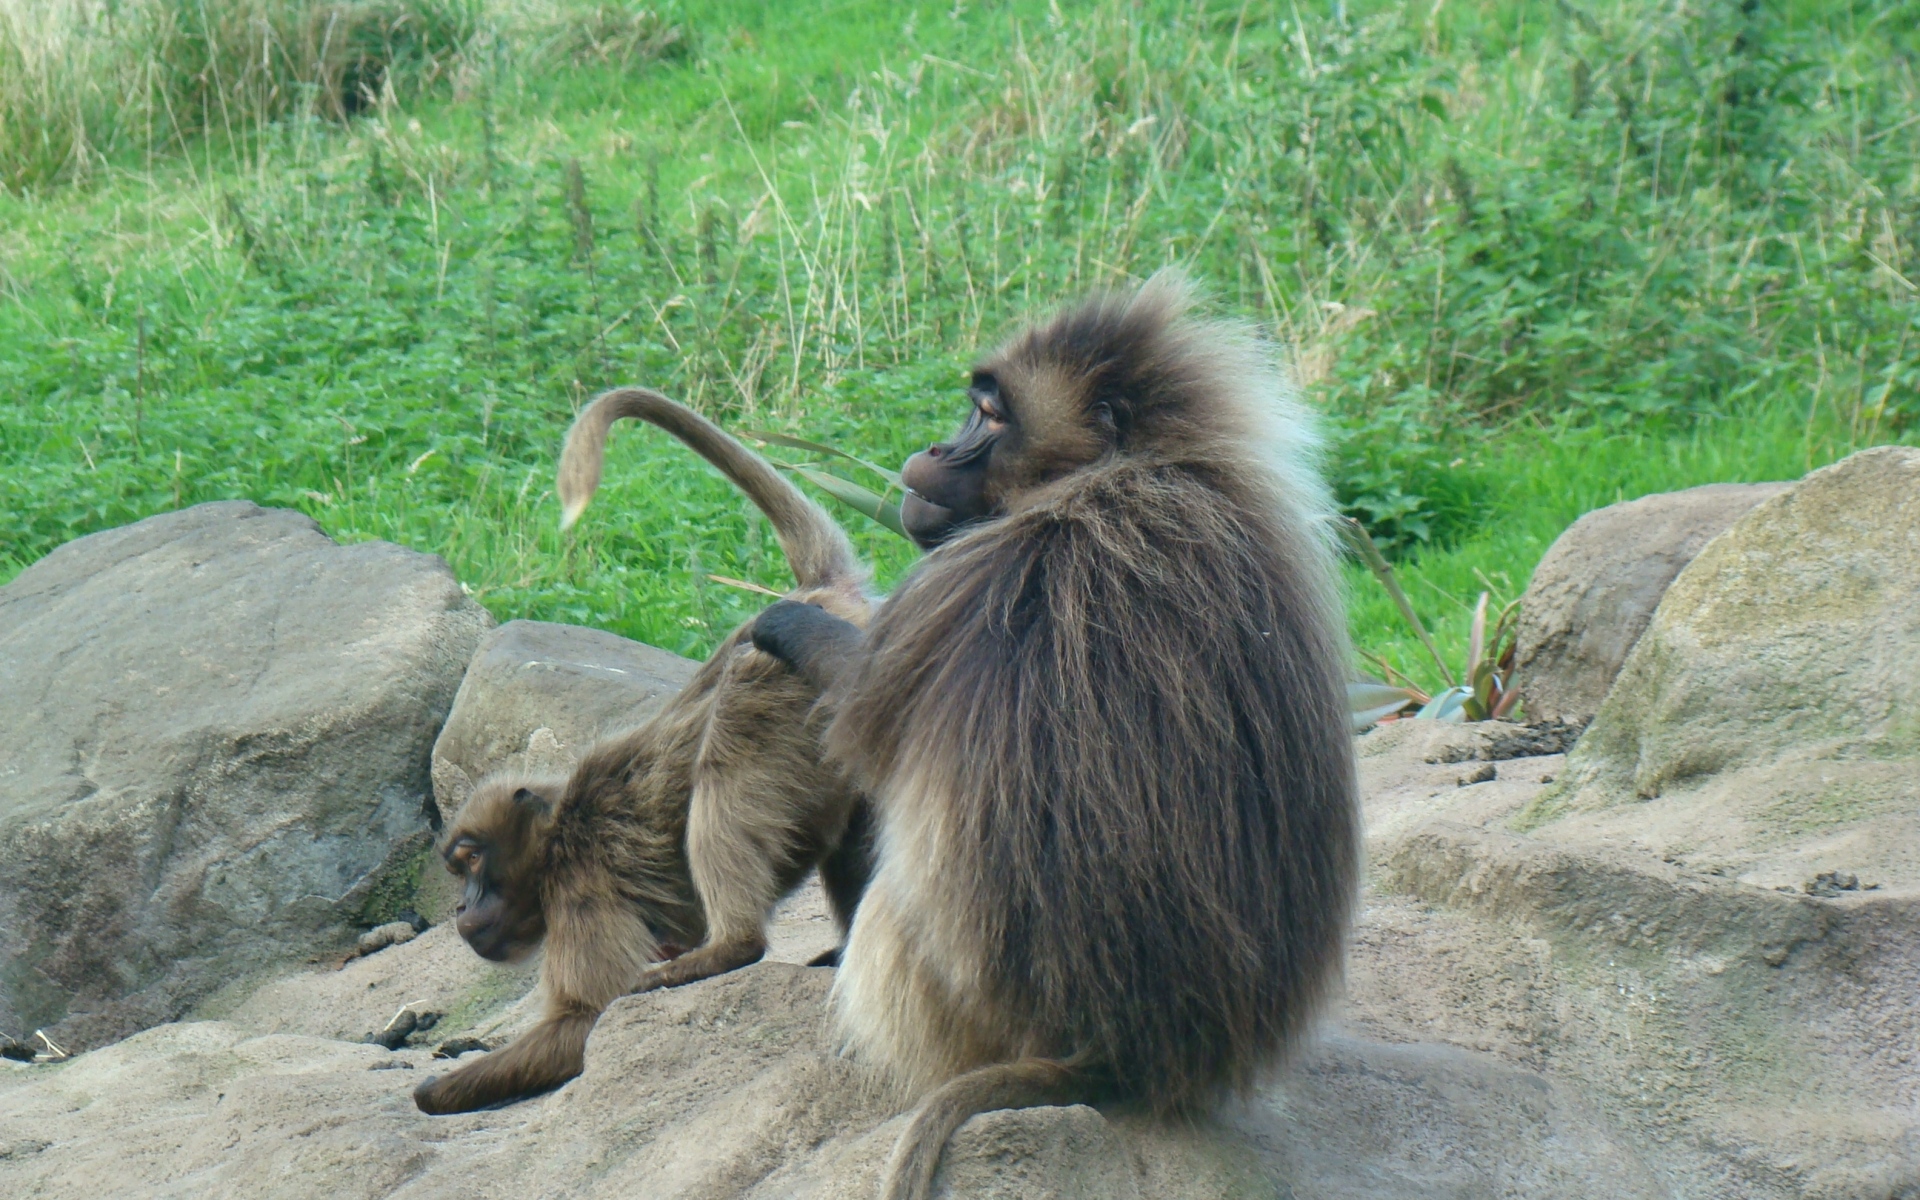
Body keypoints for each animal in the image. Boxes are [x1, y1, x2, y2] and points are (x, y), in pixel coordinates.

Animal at [412, 387, 874, 1116]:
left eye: (472, 862)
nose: (460, 909)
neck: (558, 831)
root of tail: (819, 597)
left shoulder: (582, 890)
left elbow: (584, 1020)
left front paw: (435, 1086)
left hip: (782, 678)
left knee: (728, 750)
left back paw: (727, 950)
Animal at [748, 274, 1361, 1200]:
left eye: (989, 416)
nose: (933, 448)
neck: (1137, 469)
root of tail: (1109, 1051)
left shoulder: (979, 568)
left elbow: (862, 709)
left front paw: (788, 624)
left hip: (954, 1005)